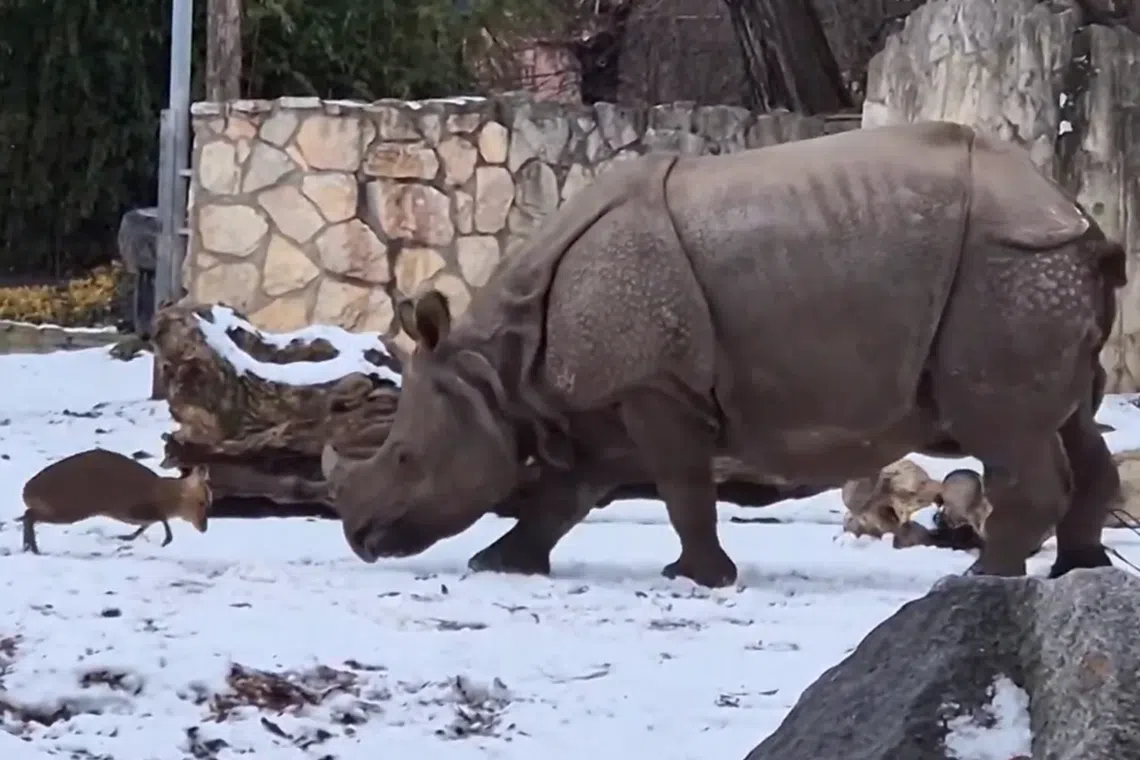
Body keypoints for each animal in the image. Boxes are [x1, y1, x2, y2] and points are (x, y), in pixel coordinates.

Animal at [322, 121, 1127, 588]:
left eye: (404, 457)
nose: (358, 540)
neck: (497, 368)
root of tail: (1074, 215)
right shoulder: (609, 396)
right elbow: (569, 491)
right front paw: (501, 564)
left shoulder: (656, 386)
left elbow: (683, 488)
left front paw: (698, 578)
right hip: (1035, 271)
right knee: (1075, 421)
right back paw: (1077, 570)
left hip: (1009, 267)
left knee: (1005, 428)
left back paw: (983, 579)